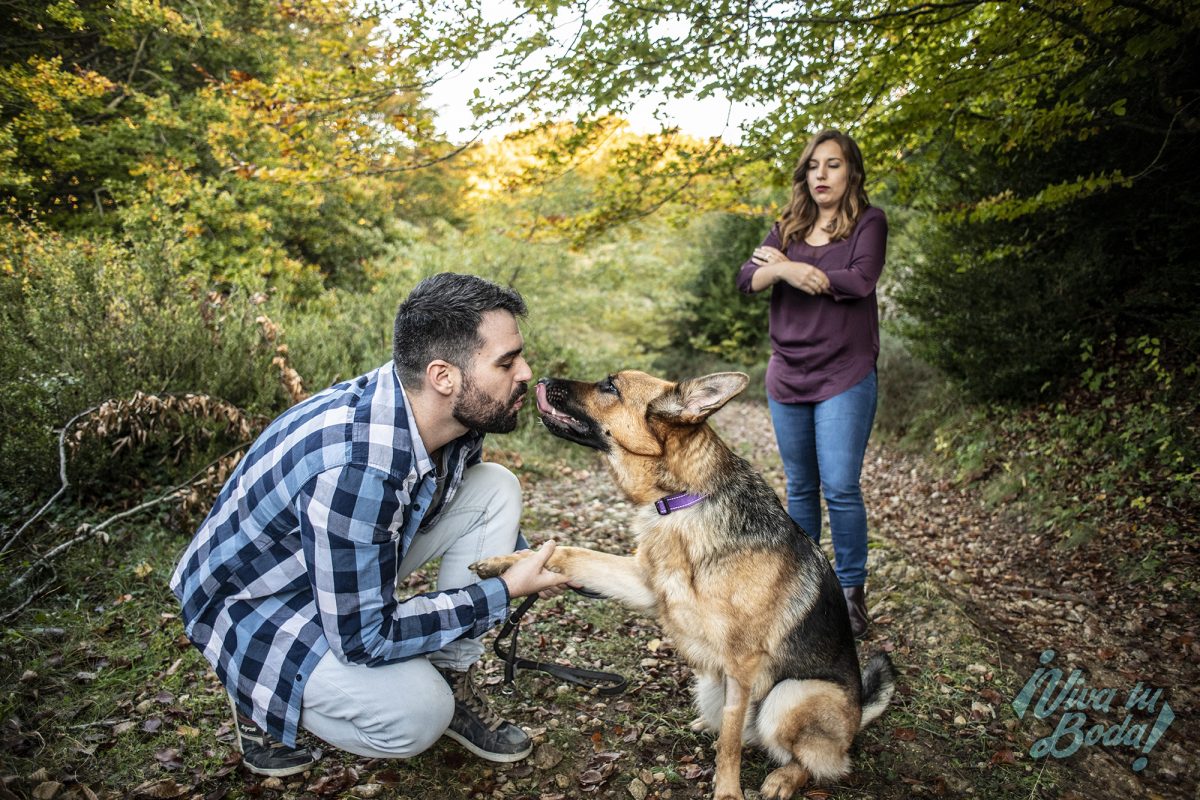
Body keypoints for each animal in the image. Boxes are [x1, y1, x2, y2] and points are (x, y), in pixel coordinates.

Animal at [472, 371, 897, 800]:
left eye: (611, 386)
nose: (540, 379)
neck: (681, 500)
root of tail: (858, 715)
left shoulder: (742, 664)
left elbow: (730, 743)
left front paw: (727, 792)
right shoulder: (643, 584)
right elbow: (569, 552)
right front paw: (505, 565)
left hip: (789, 695)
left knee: (818, 761)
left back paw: (784, 778)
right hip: (712, 682)